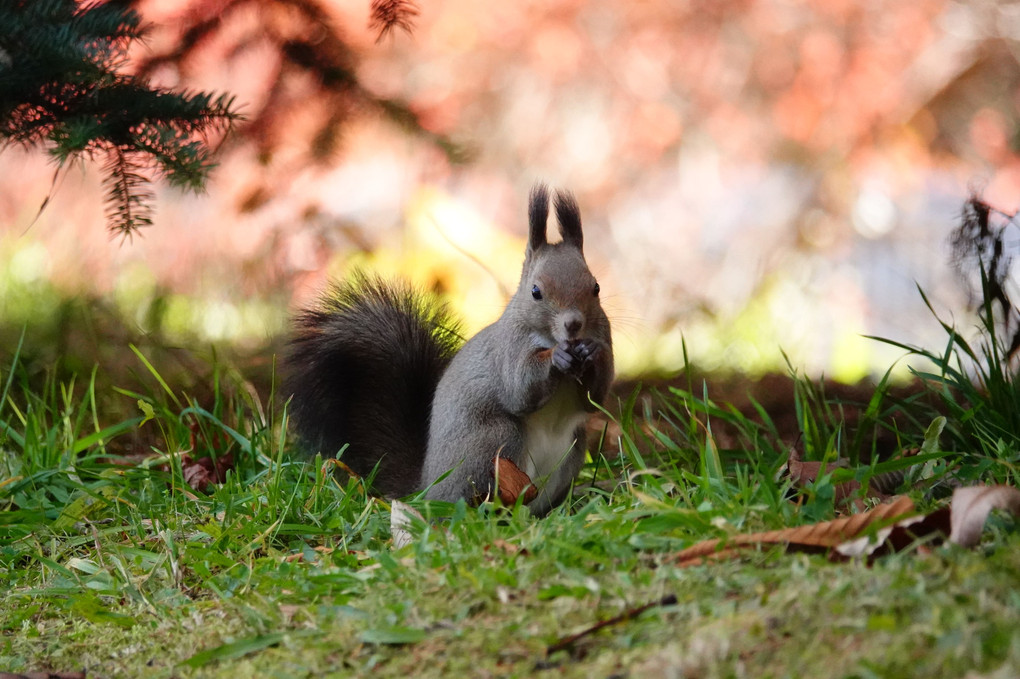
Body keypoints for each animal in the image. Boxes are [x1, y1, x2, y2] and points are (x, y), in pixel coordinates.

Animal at [285, 185, 612, 513]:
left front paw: (593, 353)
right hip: (493, 442)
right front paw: (555, 358)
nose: (573, 324)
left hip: (573, 448)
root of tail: (427, 486)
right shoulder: (508, 348)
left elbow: (594, 397)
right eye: (536, 292)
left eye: (596, 287)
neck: (553, 338)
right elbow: (519, 389)